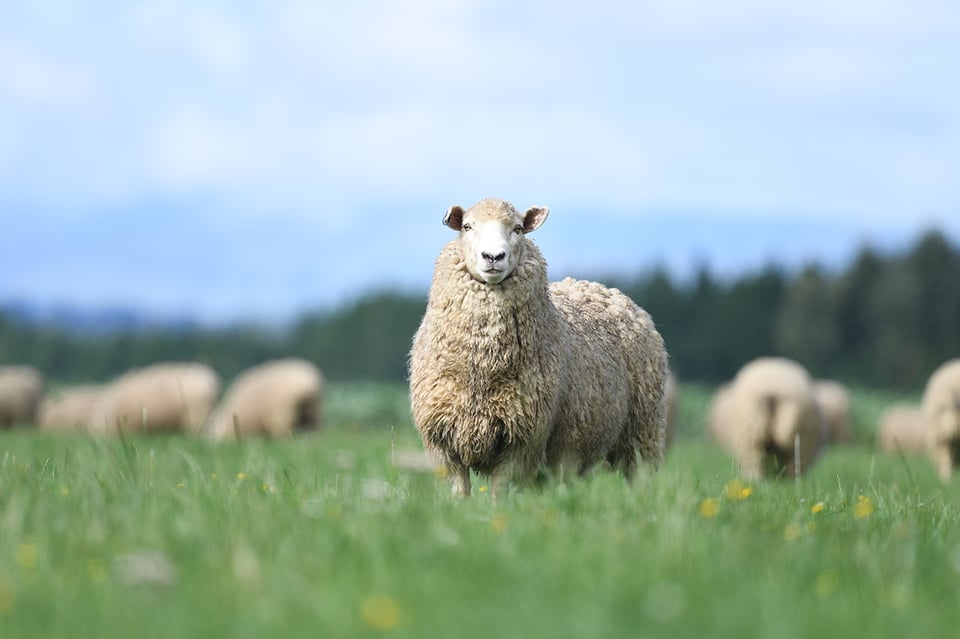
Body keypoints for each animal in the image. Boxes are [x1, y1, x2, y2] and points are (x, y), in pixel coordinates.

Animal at [406, 198, 668, 498]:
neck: (481, 369)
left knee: (640, 478)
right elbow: (459, 493)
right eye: (467, 227)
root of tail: (603, 289)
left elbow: (499, 494)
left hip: (643, 433)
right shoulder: (441, 443)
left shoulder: (523, 442)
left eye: (518, 228)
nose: (493, 256)